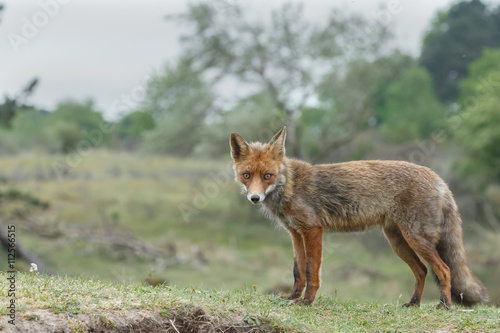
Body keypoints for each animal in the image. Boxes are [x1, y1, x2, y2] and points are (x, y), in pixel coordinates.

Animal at [230, 126, 488, 306]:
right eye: (246, 175)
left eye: (267, 176)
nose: (255, 198)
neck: (290, 185)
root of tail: (438, 178)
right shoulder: (295, 233)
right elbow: (297, 271)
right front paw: (293, 297)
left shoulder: (313, 230)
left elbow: (311, 271)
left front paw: (307, 301)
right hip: (398, 242)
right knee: (422, 271)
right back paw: (414, 303)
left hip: (416, 239)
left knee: (444, 270)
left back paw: (445, 305)